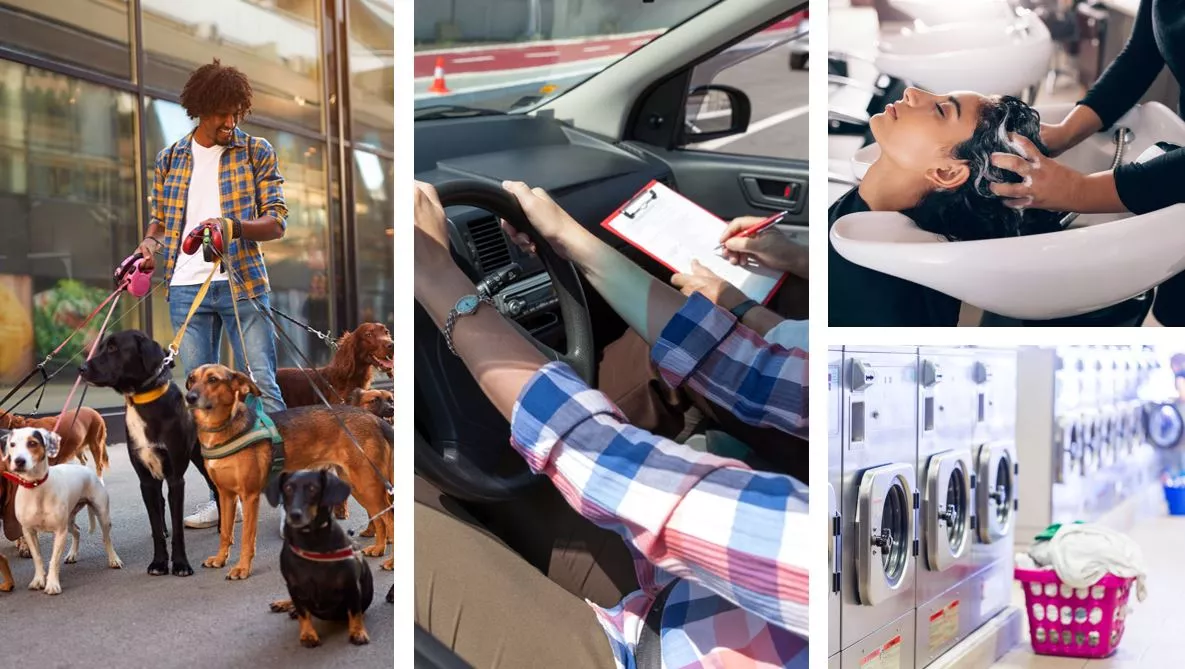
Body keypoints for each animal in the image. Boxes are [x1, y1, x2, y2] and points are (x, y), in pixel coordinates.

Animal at [1, 426, 121, 592]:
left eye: (32, 443)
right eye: (12, 444)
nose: (19, 461)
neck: (36, 487)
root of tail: (86, 470)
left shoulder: (60, 531)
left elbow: (54, 560)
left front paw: (52, 584)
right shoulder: (28, 531)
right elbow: (37, 558)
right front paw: (39, 580)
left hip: (102, 515)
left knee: (106, 538)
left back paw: (114, 559)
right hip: (69, 521)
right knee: (77, 531)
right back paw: (72, 555)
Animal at [80, 329, 215, 573]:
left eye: (113, 348)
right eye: (101, 346)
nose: (81, 368)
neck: (144, 400)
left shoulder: (175, 479)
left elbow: (178, 529)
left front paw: (180, 563)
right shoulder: (146, 480)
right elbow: (155, 525)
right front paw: (159, 562)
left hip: (203, 460)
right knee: (160, 507)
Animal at [182, 364, 391, 580]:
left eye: (213, 379)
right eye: (192, 379)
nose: (189, 397)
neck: (223, 429)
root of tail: (373, 419)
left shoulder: (249, 496)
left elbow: (247, 538)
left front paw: (242, 568)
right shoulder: (225, 495)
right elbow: (225, 532)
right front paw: (220, 558)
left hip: (368, 484)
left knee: (390, 518)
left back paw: (390, 562)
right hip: (359, 486)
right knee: (380, 519)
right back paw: (378, 548)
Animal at [266, 466, 372, 644]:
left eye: (312, 488)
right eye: (287, 488)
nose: (294, 515)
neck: (312, 543)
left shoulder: (351, 585)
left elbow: (355, 611)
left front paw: (358, 631)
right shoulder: (293, 586)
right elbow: (303, 612)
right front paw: (308, 634)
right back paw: (287, 605)